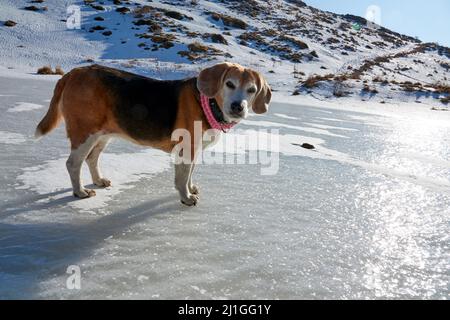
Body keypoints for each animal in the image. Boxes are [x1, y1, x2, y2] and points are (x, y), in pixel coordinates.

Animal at [35, 62, 270, 206]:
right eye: (229, 84)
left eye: (251, 90)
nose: (238, 106)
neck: (209, 104)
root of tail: (73, 72)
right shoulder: (186, 149)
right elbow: (181, 177)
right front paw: (185, 197)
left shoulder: (195, 150)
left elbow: (190, 174)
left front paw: (191, 189)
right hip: (85, 133)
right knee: (73, 163)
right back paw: (80, 192)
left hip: (103, 135)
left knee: (92, 159)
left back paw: (99, 180)